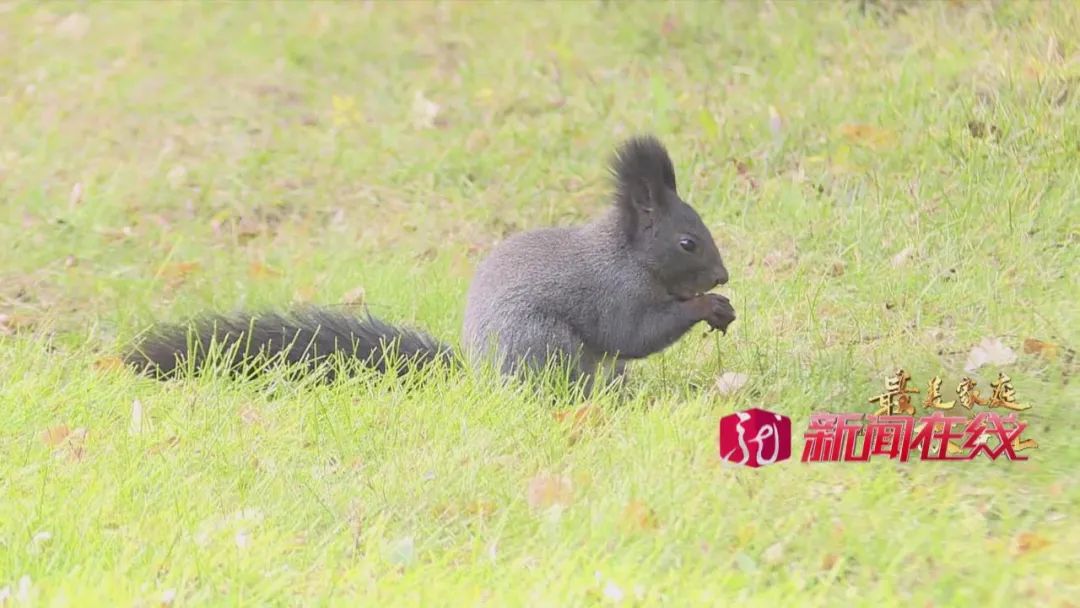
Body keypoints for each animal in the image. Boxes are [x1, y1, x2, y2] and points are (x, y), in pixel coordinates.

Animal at [124, 135, 734, 393]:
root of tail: (477, 373)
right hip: (542, 346)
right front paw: (707, 305)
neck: (626, 254)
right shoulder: (614, 291)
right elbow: (634, 332)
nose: (723, 276)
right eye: (688, 242)